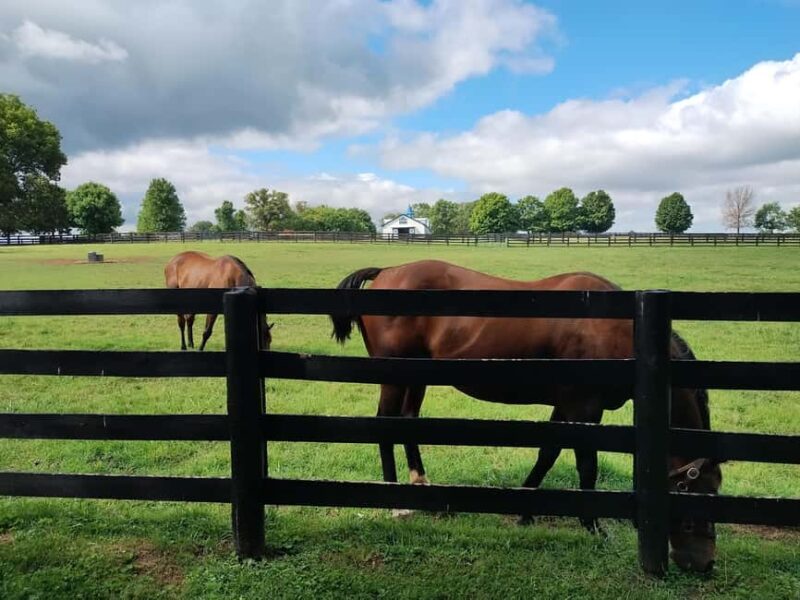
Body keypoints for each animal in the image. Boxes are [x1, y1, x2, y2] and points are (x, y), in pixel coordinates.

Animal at [329, 259, 722, 573]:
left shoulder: (567, 406)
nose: (703, 564)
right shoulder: (584, 407)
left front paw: (526, 510)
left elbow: (548, 452)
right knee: (385, 424)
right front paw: (593, 525)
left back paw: (422, 487)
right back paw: (397, 506)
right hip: (394, 376)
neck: (623, 329)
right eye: (695, 491)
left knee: (408, 421)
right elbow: (586, 466)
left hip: (417, 375)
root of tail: (387, 272)